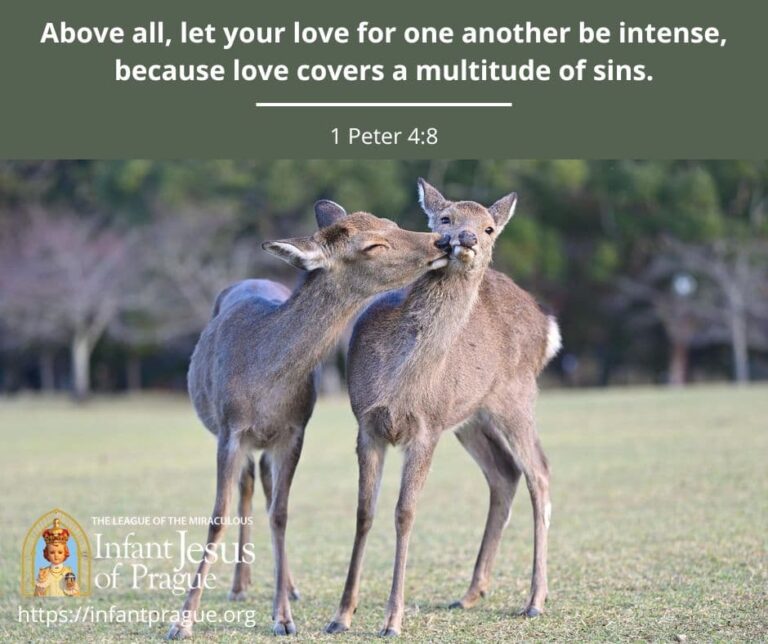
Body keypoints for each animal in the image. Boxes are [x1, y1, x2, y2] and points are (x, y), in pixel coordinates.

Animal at [166, 200, 451, 639]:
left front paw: (283, 617)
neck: (263, 381)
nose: (441, 241)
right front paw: (182, 622)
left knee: (264, 489)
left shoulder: (294, 432)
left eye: (390, 222)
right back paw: (238, 586)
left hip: (268, 443)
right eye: (373, 245)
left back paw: (286, 587)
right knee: (247, 488)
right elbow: (217, 516)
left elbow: (281, 514)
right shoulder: (230, 431)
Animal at [325, 180, 562, 637]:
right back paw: (471, 593)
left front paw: (392, 621)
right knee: (504, 472)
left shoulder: (426, 429)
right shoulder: (366, 425)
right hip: (470, 417)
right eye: (445, 218)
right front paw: (341, 616)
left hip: (516, 396)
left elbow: (405, 512)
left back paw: (535, 601)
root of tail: (548, 328)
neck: (400, 381)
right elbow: (364, 512)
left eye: (489, 228)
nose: (465, 239)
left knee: (539, 471)